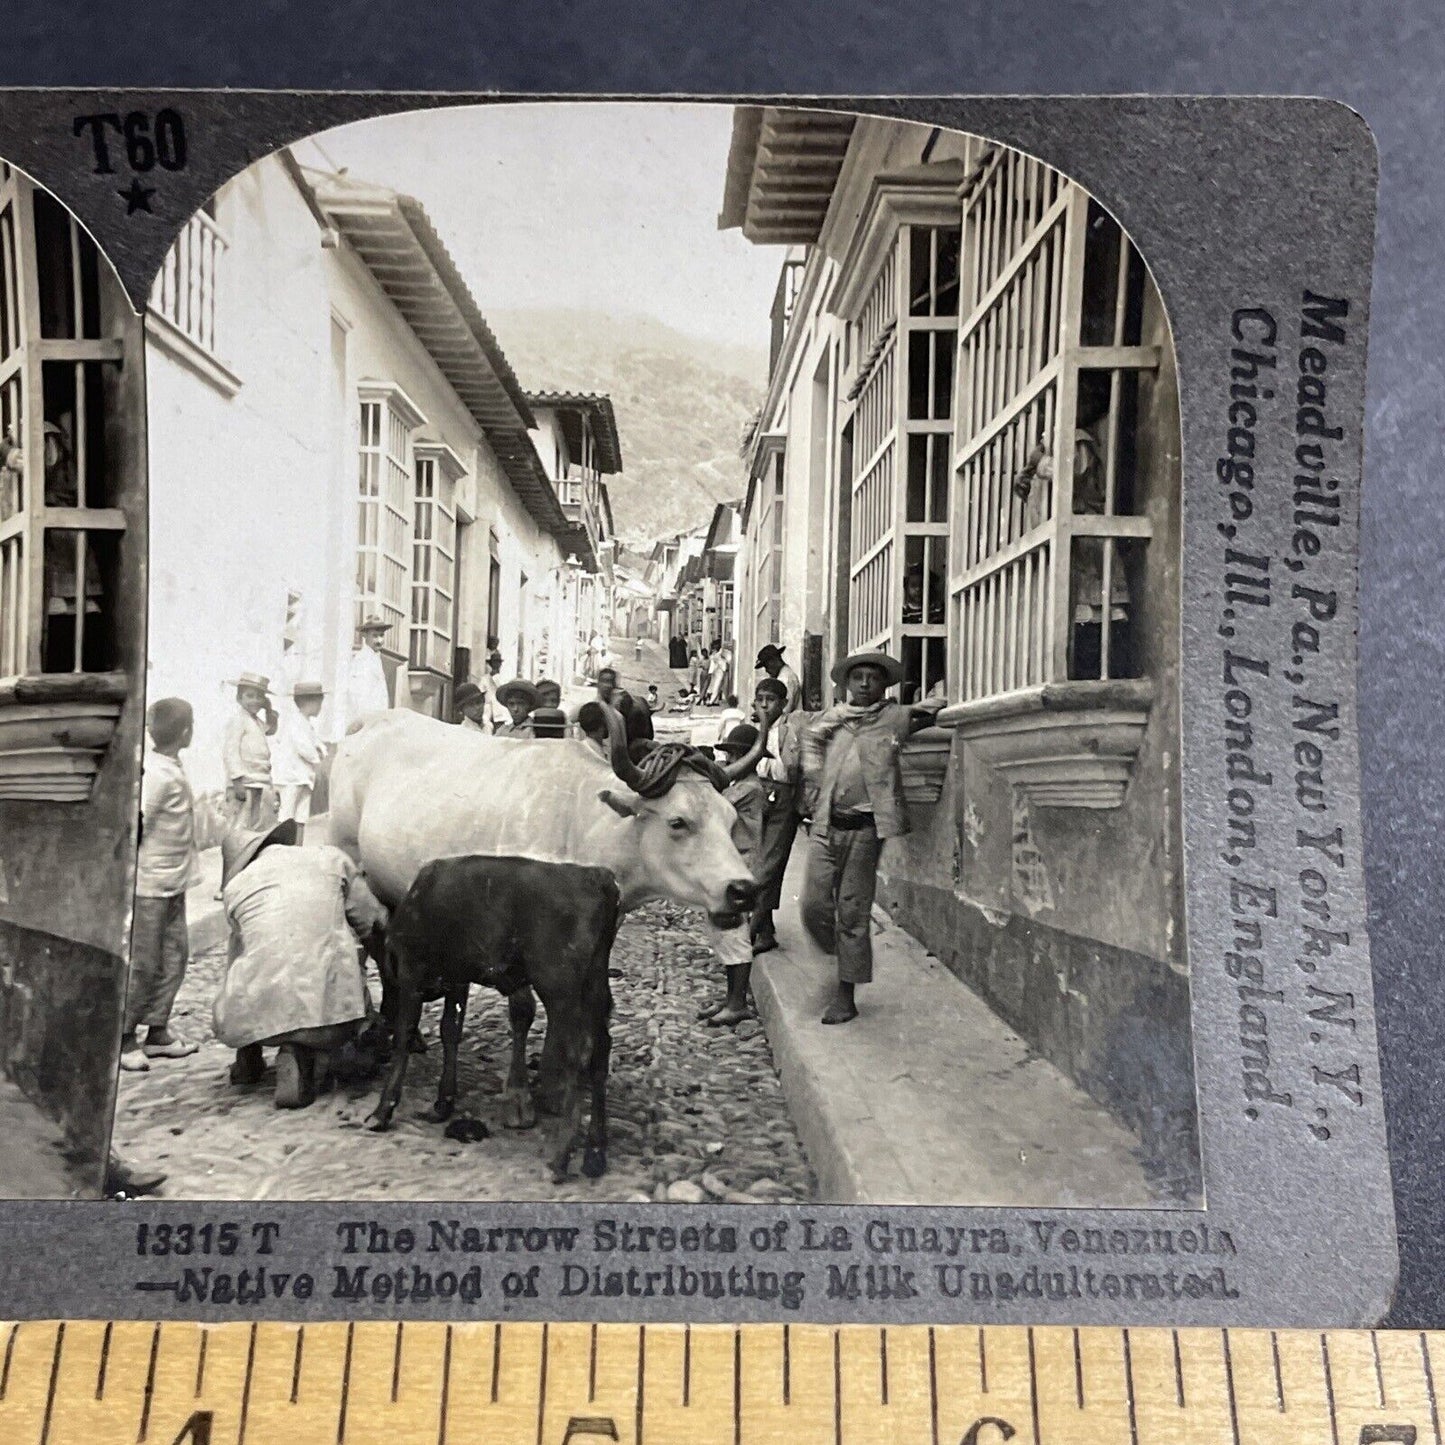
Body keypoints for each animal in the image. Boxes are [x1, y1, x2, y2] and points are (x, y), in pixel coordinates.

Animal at [364, 849, 618, 1179]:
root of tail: (595, 876)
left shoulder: (412, 975)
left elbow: (404, 1038)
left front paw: (382, 1111)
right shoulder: (456, 978)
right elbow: (450, 1031)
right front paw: (443, 1103)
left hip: (562, 991)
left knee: (579, 1055)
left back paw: (561, 1159)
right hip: (596, 992)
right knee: (600, 1054)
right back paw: (595, 1155)